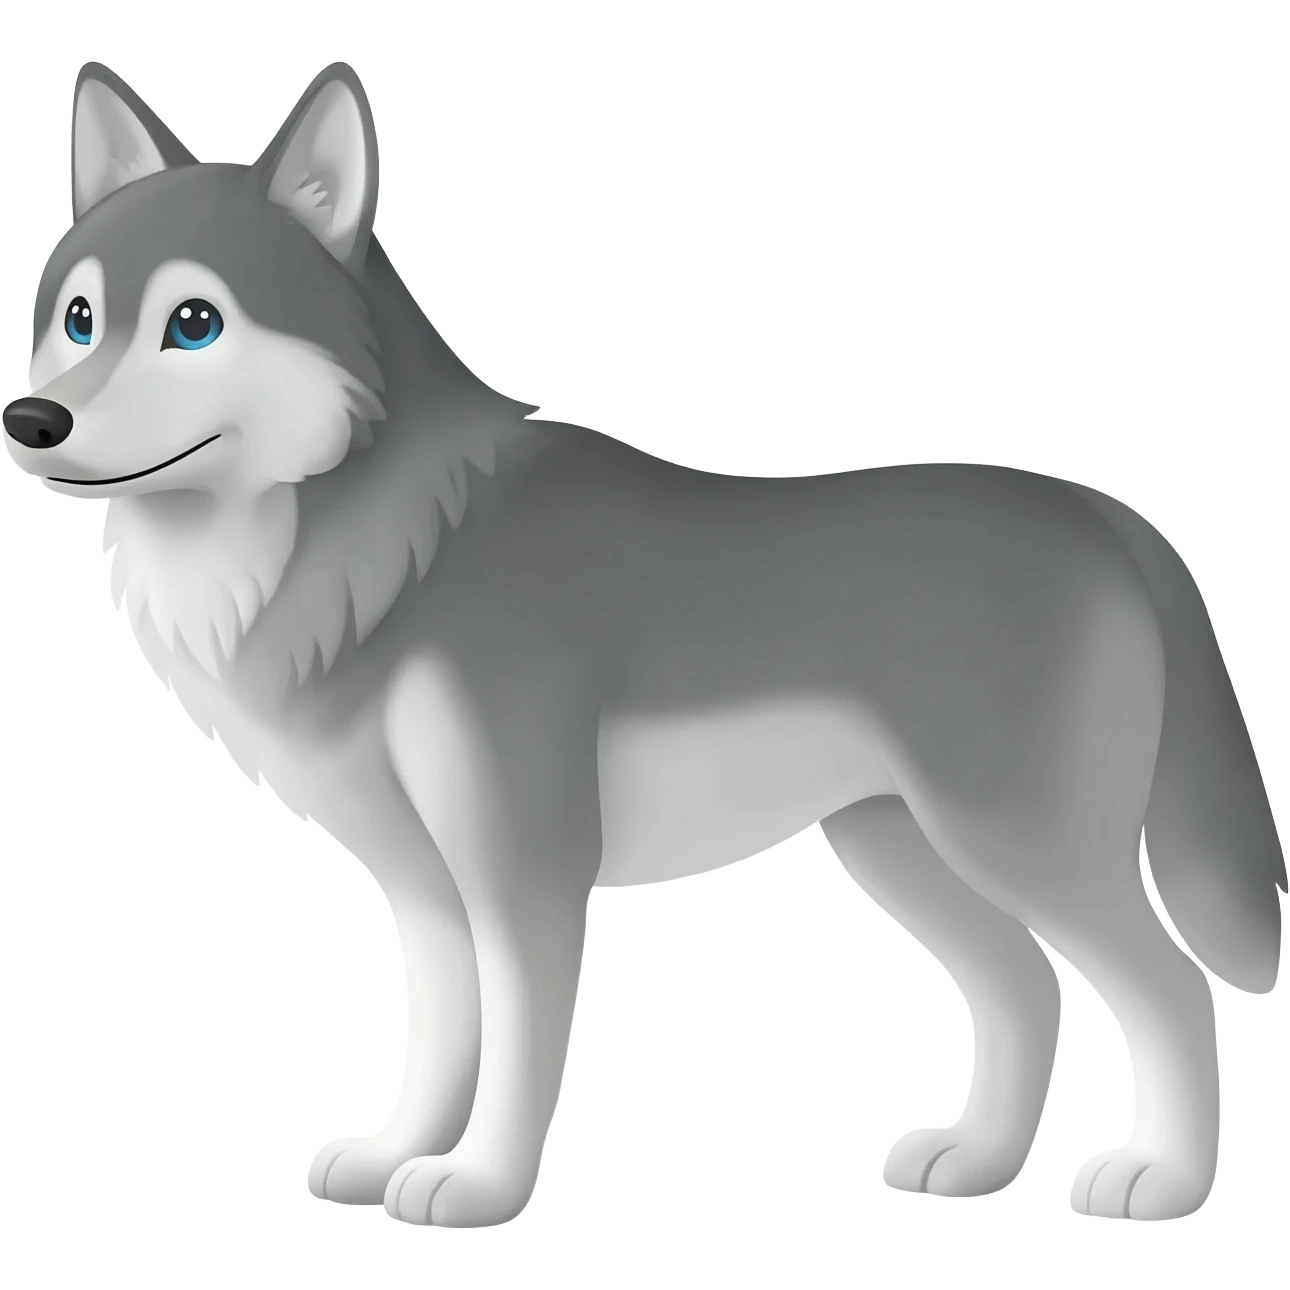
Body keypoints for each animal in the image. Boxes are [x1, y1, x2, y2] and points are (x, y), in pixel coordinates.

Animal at [4, 57, 1283, 1229]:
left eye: (193, 324)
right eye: (77, 320)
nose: (33, 420)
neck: (394, 544)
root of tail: (1110, 515)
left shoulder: (523, 866)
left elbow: (518, 1050)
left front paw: (477, 1185)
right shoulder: (424, 892)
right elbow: (437, 1044)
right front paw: (391, 1156)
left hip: (1017, 846)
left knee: (1172, 993)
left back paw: (1162, 1181)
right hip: (903, 852)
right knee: (1024, 989)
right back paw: (974, 1163)